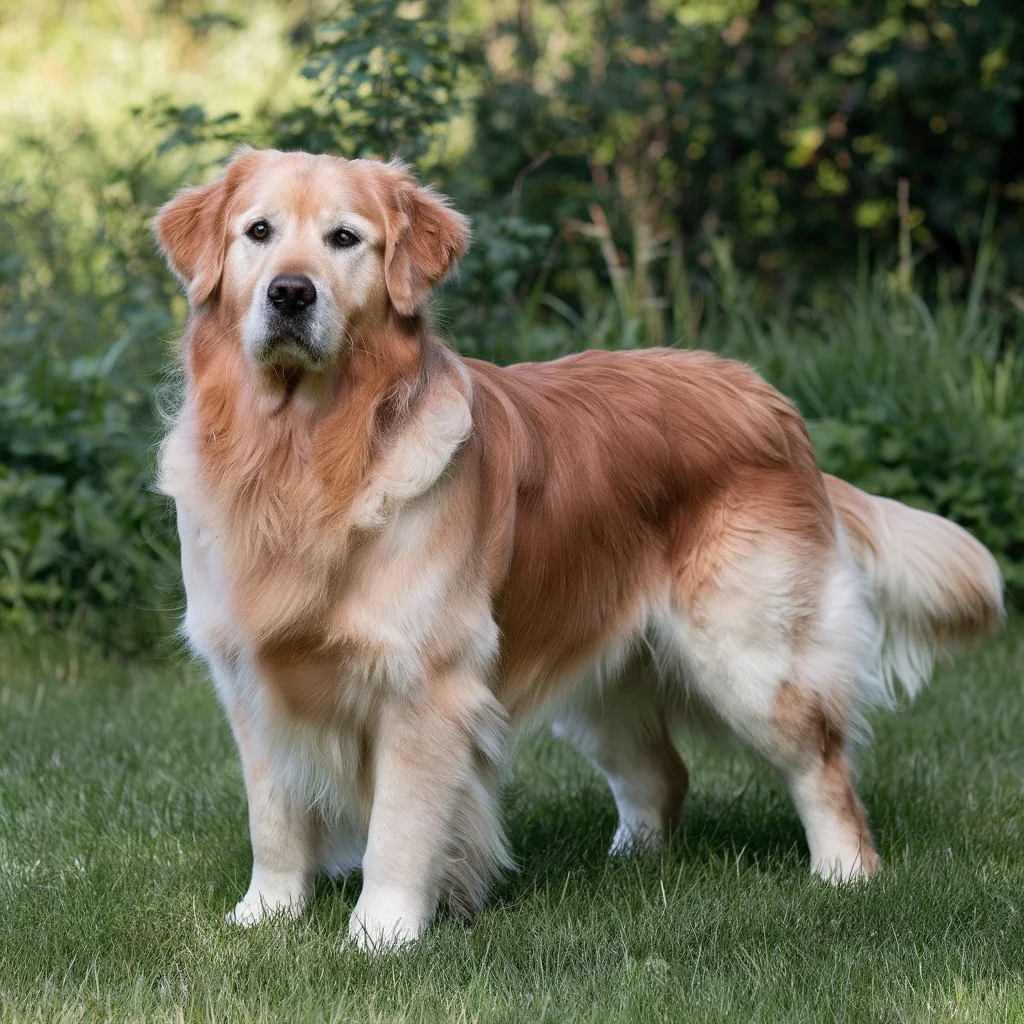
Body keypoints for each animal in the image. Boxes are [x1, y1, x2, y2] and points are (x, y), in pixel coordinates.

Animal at [151, 148, 999, 946]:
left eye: (345, 239)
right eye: (259, 232)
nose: (291, 293)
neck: (300, 454)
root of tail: (771, 399)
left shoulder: (426, 686)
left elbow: (399, 825)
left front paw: (381, 934)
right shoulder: (251, 679)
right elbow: (273, 817)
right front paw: (264, 916)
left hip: (752, 655)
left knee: (823, 767)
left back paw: (844, 876)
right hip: (600, 678)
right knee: (662, 775)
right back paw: (627, 865)